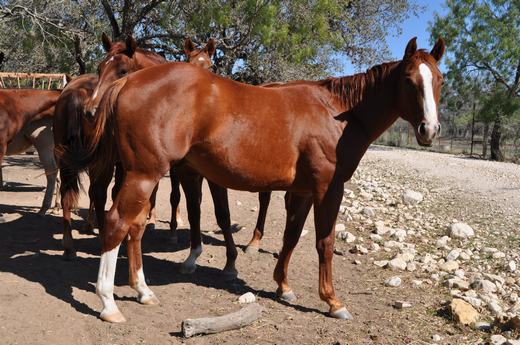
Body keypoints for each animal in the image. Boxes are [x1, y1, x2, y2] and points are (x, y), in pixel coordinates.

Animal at [68, 36, 442, 322]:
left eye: (438, 81)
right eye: (409, 80)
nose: (430, 129)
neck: (337, 113)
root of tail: (127, 84)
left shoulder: (303, 191)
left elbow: (291, 237)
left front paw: (283, 286)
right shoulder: (328, 189)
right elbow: (324, 243)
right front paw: (333, 301)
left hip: (144, 176)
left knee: (134, 226)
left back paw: (142, 291)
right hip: (143, 175)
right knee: (116, 223)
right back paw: (108, 303)